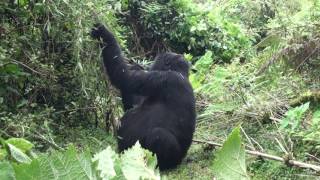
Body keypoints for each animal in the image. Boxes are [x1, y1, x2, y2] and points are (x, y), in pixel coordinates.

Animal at [91, 23, 196, 170]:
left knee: (159, 136)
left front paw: (104, 33)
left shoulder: (164, 79)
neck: (180, 73)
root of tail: (180, 161)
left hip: (174, 158)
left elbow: (124, 77)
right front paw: (135, 65)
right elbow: (133, 100)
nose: (150, 64)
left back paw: (158, 165)